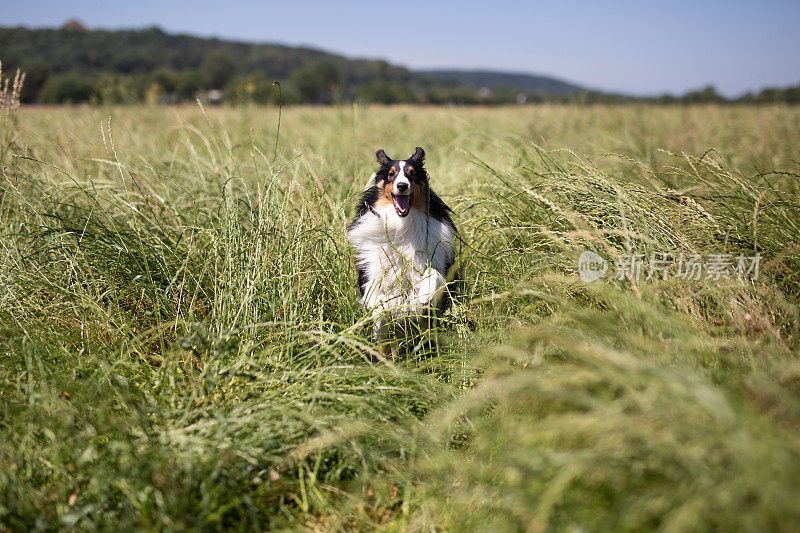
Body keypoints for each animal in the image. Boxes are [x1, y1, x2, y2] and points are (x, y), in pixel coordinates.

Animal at [348, 145, 460, 358]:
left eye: (412, 174)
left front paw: (425, 293)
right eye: (391, 175)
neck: (402, 224)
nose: (401, 186)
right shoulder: (372, 274)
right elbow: (378, 299)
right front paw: (382, 305)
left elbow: (433, 273)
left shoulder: (441, 265)